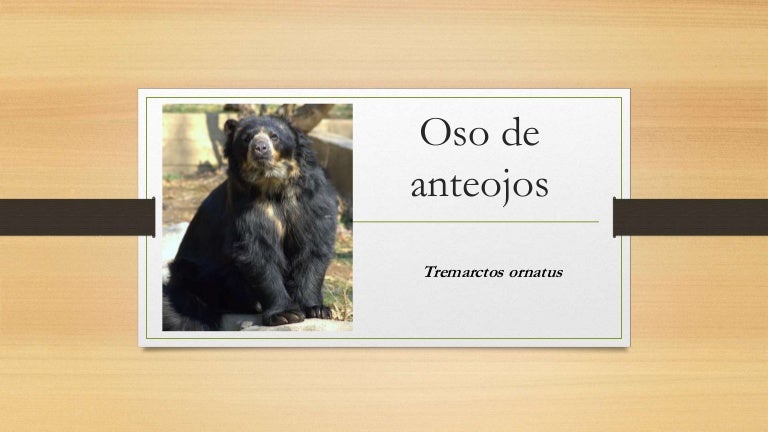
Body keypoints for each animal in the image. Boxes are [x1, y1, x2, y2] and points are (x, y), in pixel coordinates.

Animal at [163, 115, 338, 330]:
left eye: (274, 136)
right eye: (246, 139)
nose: (260, 148)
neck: (273, 185)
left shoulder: (310, 203)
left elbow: (312, 248)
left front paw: (317, 309)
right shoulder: (247, 208)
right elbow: (258, 251)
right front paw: (285, 314)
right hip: (194, 278)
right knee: (186, 316)